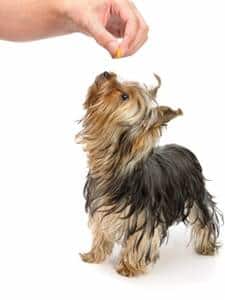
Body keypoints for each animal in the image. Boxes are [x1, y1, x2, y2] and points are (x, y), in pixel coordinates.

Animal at [76, 71, 222, 276]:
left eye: (124, 96)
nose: (107, 73)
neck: (115, 171)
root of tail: (184, 149)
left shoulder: (143, 218)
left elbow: (140, 241)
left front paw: (128, 267)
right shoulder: (101, 207)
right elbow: (101, 230)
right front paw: (94, 254)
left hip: (196, 194)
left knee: (204, 219)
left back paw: (206, 247)